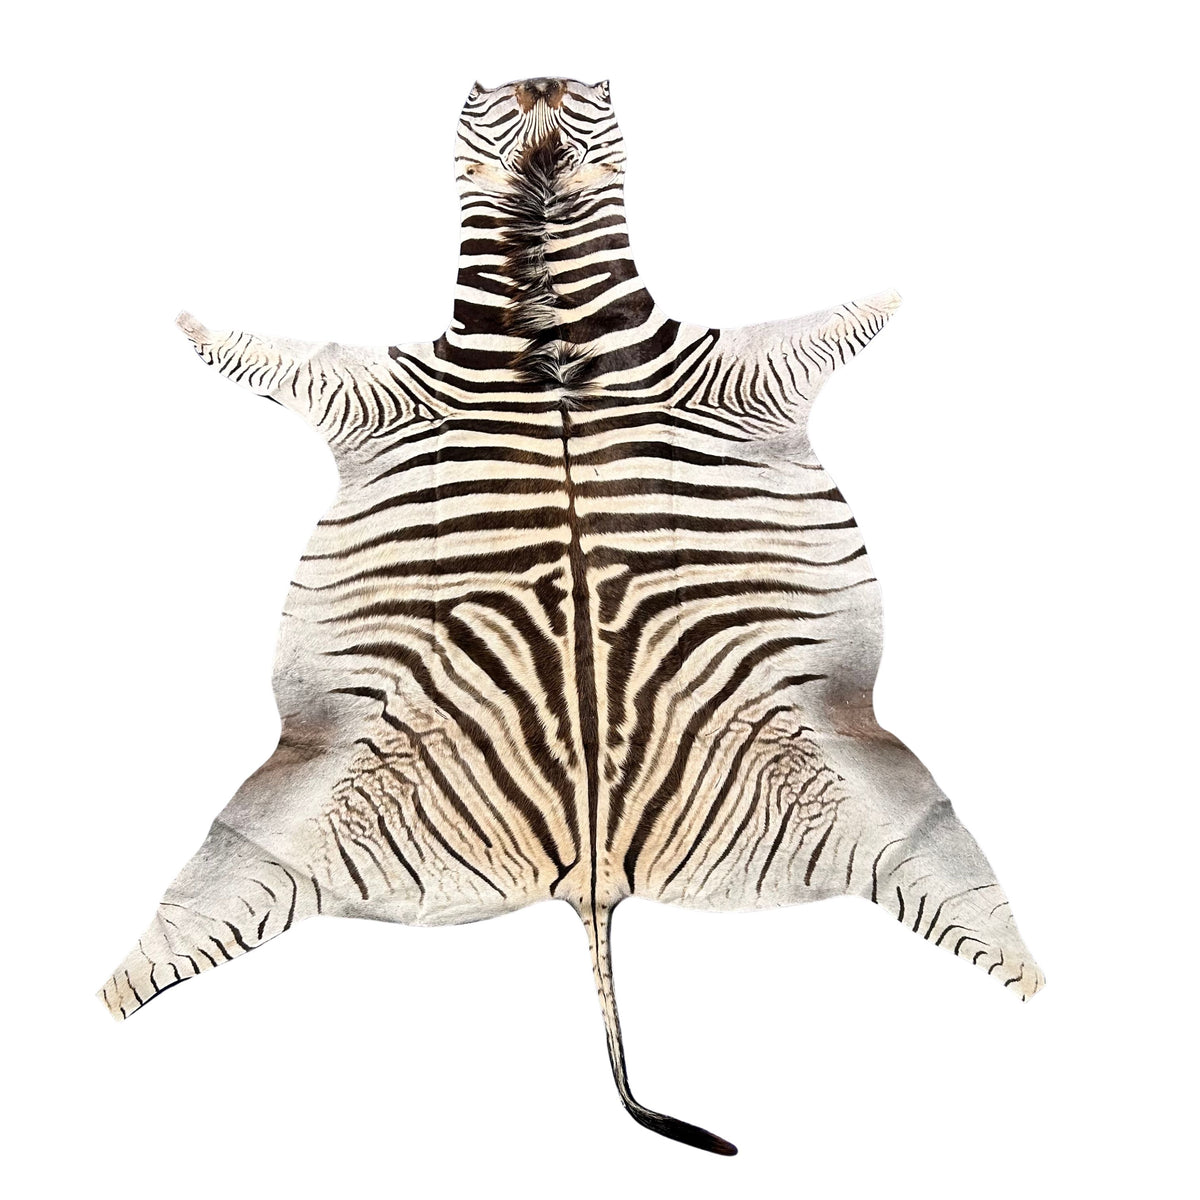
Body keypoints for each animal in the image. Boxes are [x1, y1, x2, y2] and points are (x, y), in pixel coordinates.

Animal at [100, 76, 1043, 1155]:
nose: (541, 80)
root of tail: (593, 878)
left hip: (857, 790)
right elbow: (268, 354)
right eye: (487, 95)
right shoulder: (377, 388)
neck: (551, 321)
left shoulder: (737, 371)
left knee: (952, 879)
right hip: (307, 815)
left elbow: (840, 319)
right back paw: (118, 989)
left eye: (589, 94)